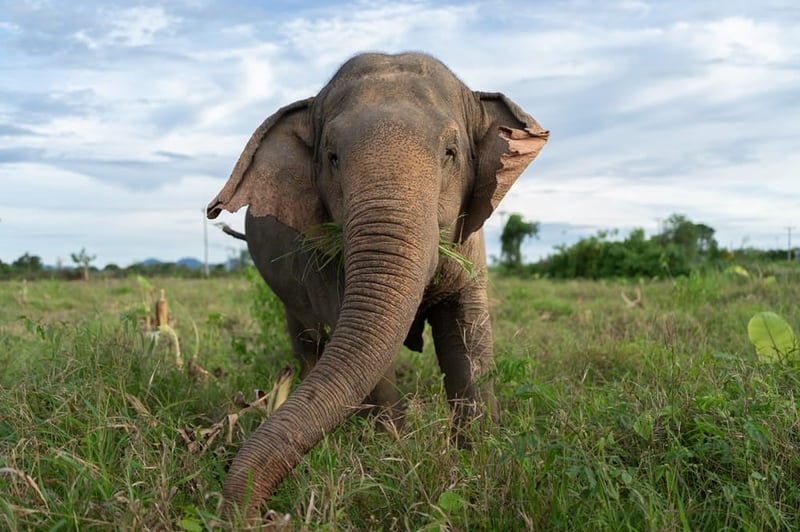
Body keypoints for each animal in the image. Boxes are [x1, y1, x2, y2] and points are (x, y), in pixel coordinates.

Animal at [206, 52, 548, 515]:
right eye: (332, 157)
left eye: (451, 153)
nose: (249, 512)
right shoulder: (318, 253)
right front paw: (392, 461)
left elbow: (466, 338)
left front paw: (477, 459)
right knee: (306, 336)